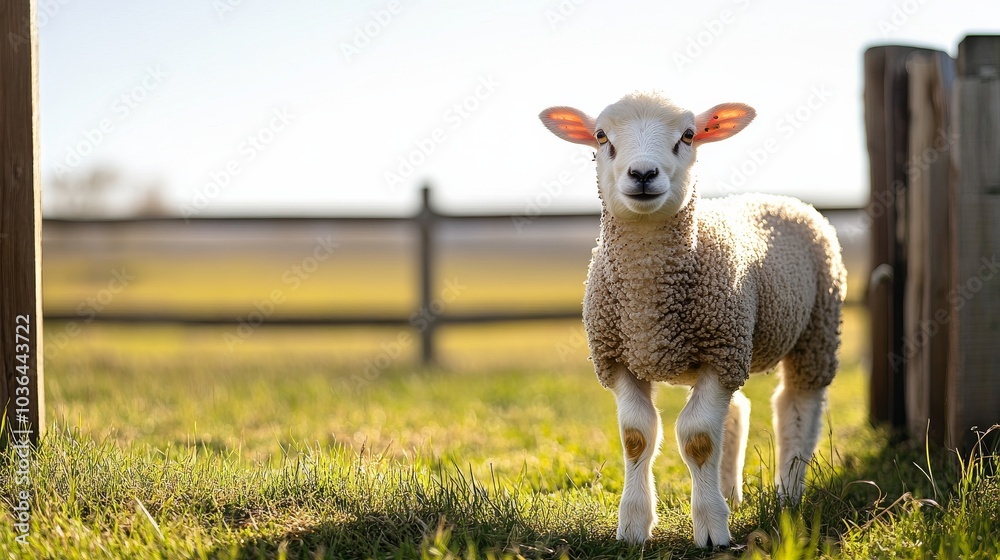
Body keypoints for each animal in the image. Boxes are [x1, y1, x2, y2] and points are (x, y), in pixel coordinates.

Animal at [538, 92, 846, 548]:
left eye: (687, 135)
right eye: (601, 136)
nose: (643, 173)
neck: (647, 302)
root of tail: (779, 198)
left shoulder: (720, 355)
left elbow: (697, 438)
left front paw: (712, 530)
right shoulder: (620, 359)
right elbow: (637, 437)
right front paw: (633, 527)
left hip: (815, 329)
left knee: (798, 405)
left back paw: (788, 493)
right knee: (737, 410)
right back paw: (731, 492)